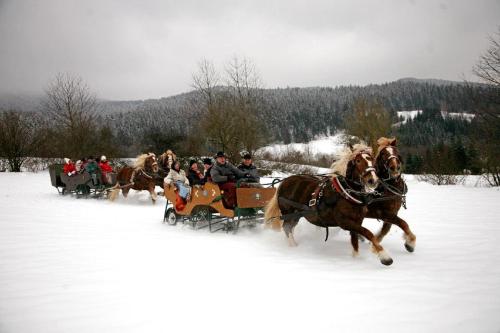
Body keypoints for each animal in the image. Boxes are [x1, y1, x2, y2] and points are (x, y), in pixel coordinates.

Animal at [264, 144, 396, 266]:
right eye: (358, 161)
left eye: (371, 159)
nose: (372, 180)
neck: (346, 193)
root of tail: (284, 182)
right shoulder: (345, 222)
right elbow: (368, 233)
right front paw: (385, 257)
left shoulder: (356, 222)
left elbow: (355, 242)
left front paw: (356, 259)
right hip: (289, 212)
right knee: (286, 227)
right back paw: (293, 247)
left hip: (296, 215)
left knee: (290, 227)